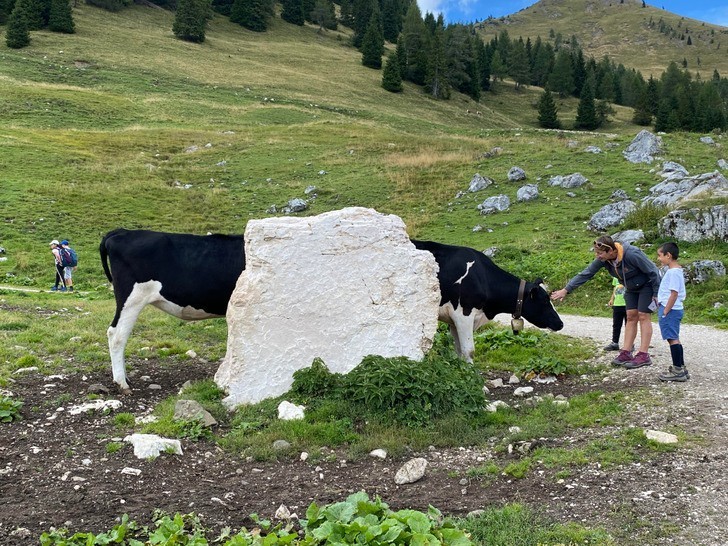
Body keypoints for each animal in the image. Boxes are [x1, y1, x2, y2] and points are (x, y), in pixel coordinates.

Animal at [410, 239, 564, 360]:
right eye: (545, 301)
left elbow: (459, 350)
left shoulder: (454, 320)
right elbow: (469, 351)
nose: (561, 323)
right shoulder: (463, 314)